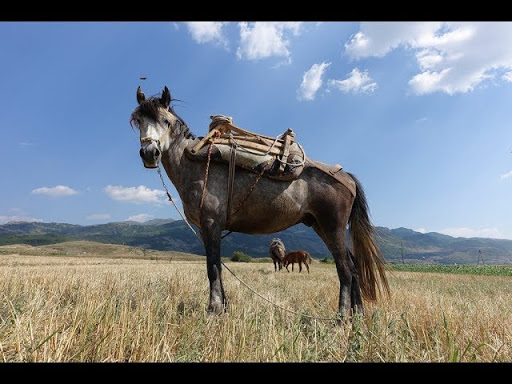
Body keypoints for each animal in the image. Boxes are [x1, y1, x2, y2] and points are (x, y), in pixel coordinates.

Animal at [130, 85, 390, 320]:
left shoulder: (211, 224)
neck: (194, 163)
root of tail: (346, 177)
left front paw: (213, 311)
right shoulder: (207, 229)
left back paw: (341, 317)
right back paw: (358, 315)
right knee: (354, 268)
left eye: (166, 121)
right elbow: (218, 267)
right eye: (137, 120)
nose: (149, 153)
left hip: (332, 226)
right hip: (320, 226)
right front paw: (224, 308)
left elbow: (212, 268)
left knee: (345, 269)